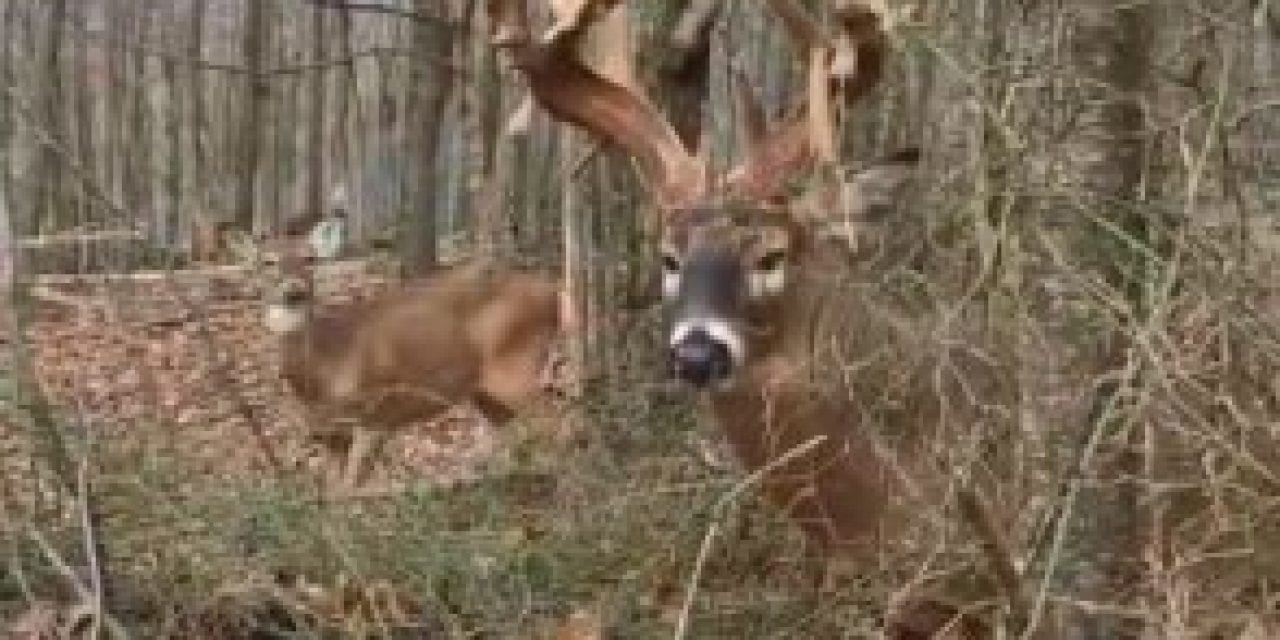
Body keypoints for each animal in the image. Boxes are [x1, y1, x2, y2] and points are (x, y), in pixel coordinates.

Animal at [262, 227, 573, 496]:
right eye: (268, 261)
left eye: (310, 259)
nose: (294, 291)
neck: (326, 365)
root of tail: (554, 291)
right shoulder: (331, 432)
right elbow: (334, 492)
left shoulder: (374, 412)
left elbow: (350, 490)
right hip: (485, 391)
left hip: (515, 366)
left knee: (558, 423)